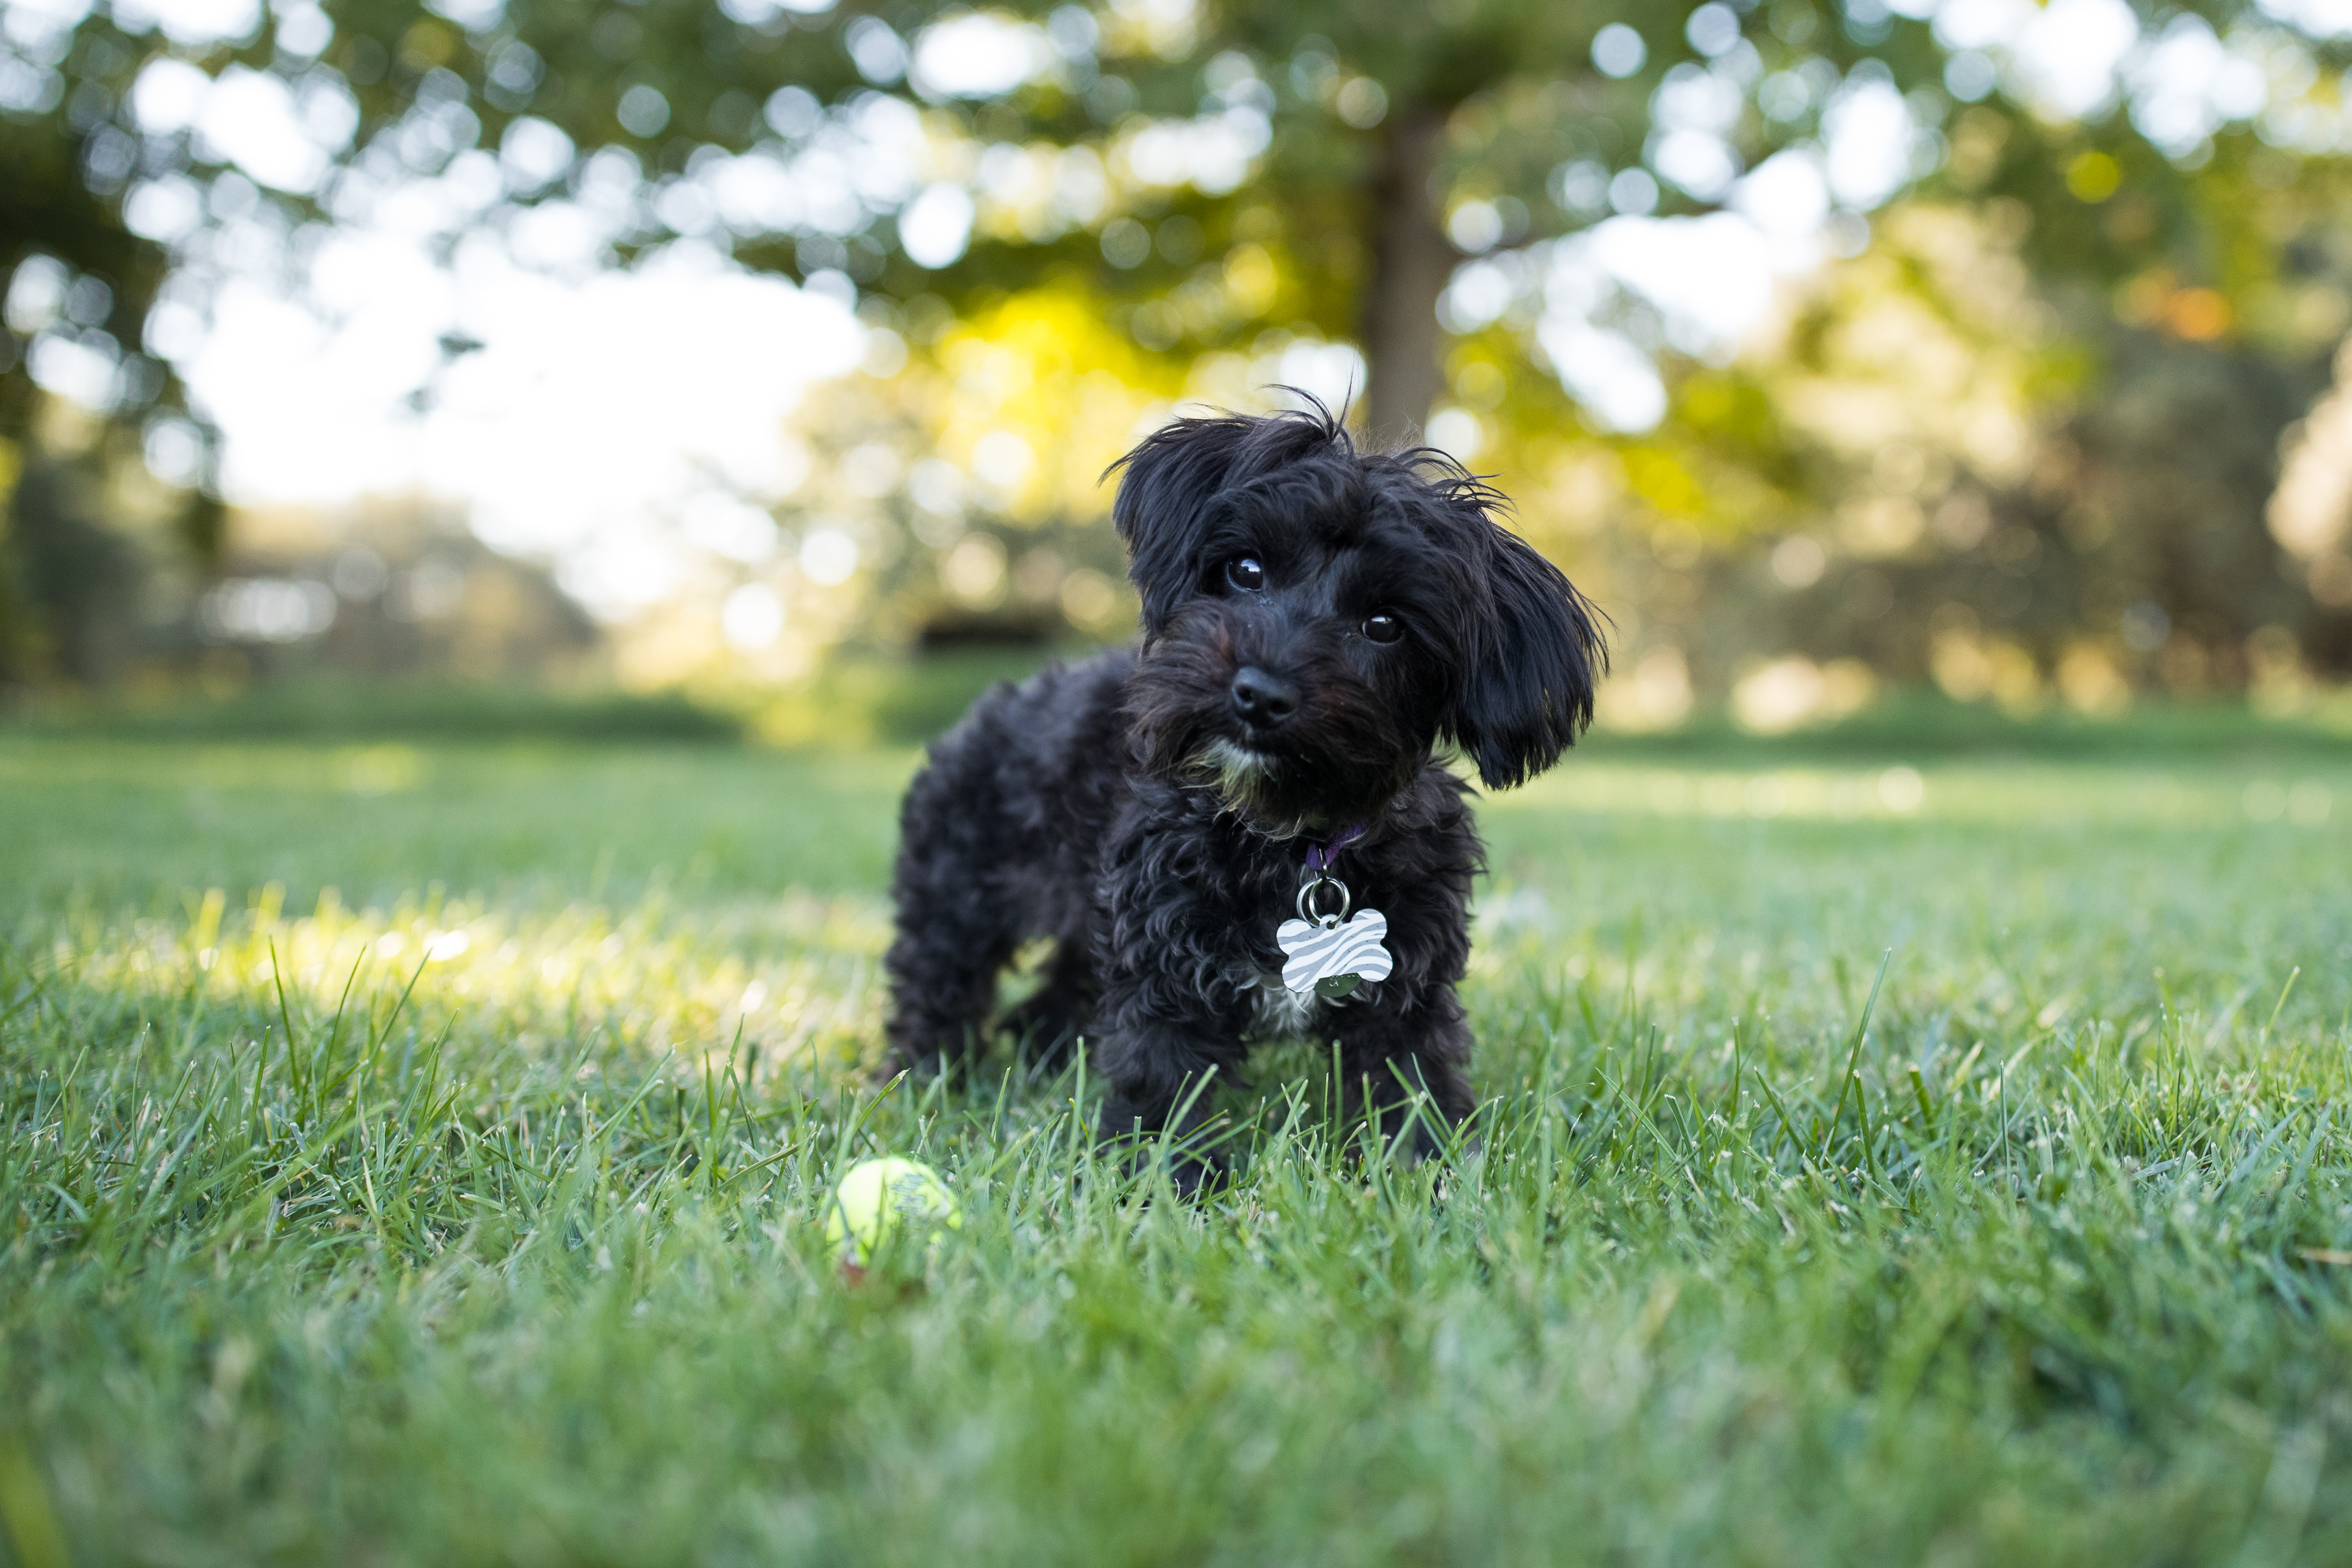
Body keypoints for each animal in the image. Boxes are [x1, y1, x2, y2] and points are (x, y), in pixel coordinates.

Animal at [884, 399, 1599, 1184]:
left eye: (1384, 624)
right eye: (1247, 569)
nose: (1258, 692)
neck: (1291, 839)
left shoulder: (1407, 980)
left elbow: (1411, 1083)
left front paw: (1425, 1176)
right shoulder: (1163, 968)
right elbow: (1161, 1080)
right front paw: (1162, 1184)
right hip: (959, 900)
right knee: (937, 986)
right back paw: (923, 1080)